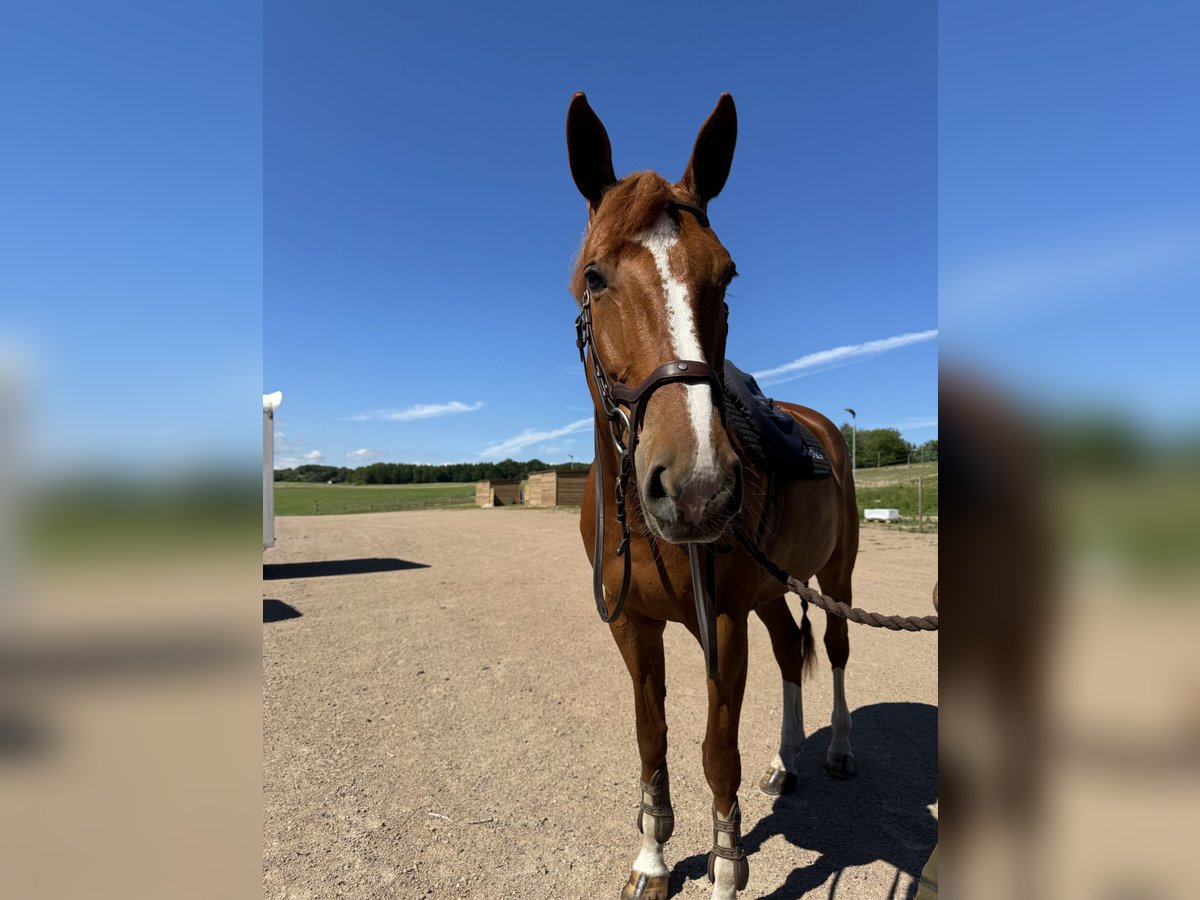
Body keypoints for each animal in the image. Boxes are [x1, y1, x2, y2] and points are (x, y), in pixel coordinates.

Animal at [568, 93, 864, 900]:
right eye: (595, 277)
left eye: (727, 277)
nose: (697, 489)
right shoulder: (632, 625)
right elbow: (654, 740)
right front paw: (652, 859)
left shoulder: (721, 623)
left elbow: (714, 752)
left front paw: (727, 867)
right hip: (772, 589)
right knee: (792, 652)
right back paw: (784, 765)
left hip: (835, 576)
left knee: (834, 648)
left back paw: (835, 752)